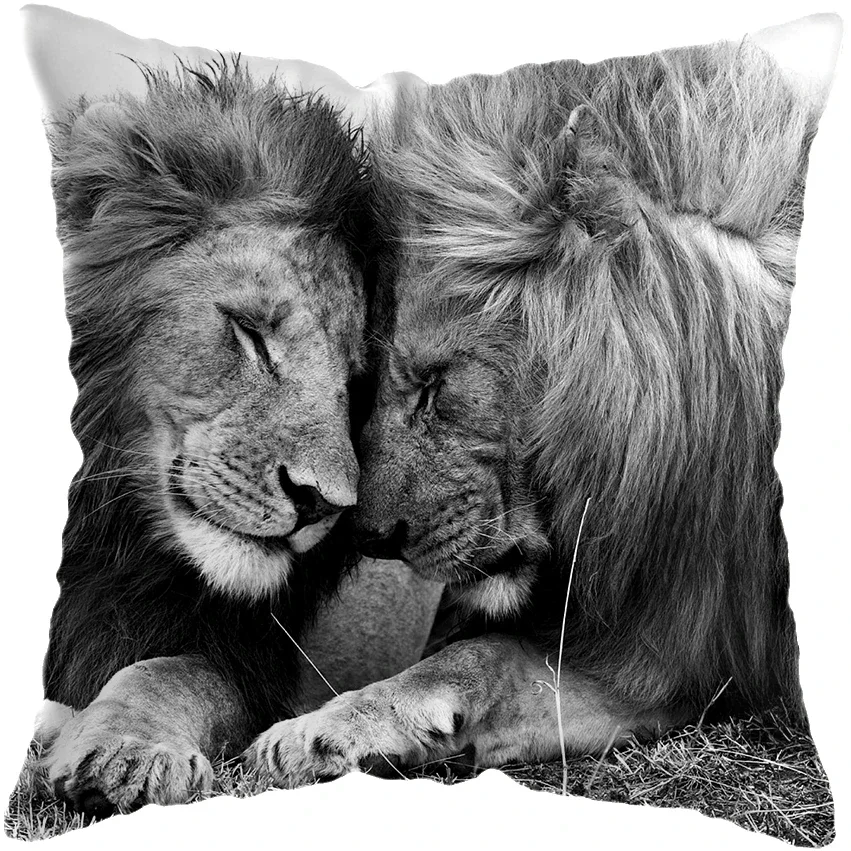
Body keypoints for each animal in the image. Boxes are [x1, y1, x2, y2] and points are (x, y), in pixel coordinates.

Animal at [37, 61, 383, 815]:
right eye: (251, 332)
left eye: (352, 383)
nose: (322, 504)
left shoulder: (243, 653)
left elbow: (170, 674)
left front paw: (129, 753)